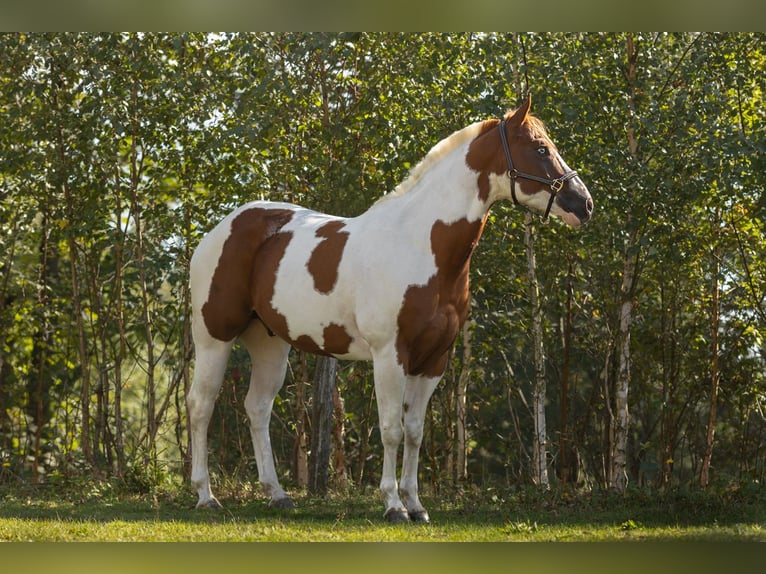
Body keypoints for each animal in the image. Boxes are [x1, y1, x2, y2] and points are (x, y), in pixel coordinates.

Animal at [187, 94, 593, 523]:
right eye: (540, 148)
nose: (584, 204)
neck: (420, 244)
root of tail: (221, 229)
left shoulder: (434, 360)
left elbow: (414, 431)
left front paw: (416, 505)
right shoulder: (390, 355)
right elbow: (391, 429)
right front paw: (393, 504)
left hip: (270, 342)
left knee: (258, 408)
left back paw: (277, 493)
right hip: (214, 337)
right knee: (201, 405)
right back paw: (205, 495)